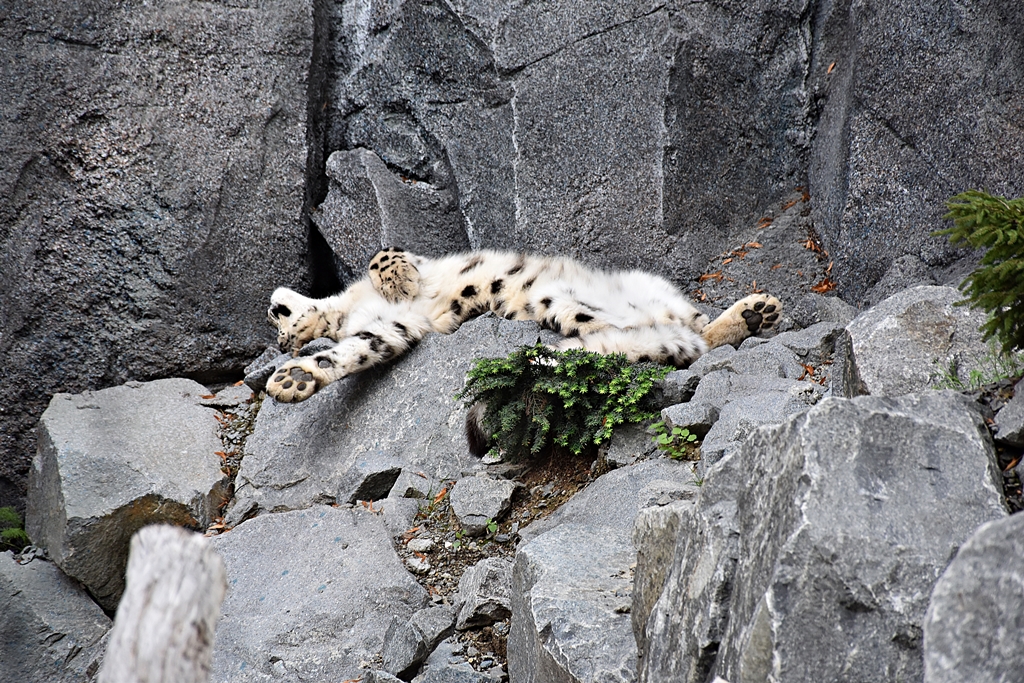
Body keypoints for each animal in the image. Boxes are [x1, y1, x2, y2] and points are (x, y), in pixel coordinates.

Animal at [264, 248, 783, 408]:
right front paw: (295, 378)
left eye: (279, 332)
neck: (348, 310)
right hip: (572, 311)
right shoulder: (397, 327)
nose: (283, 343)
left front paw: (397, 277)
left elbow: (382, 257)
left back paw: (758, 310)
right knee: (687, 341)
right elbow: (358, 348)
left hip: (646, 286)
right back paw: (753, 315)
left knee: (697, 324)